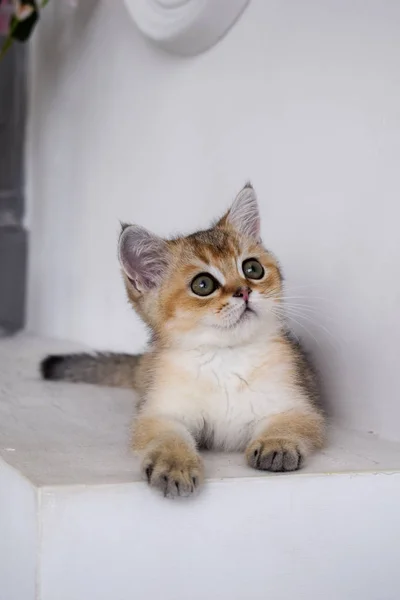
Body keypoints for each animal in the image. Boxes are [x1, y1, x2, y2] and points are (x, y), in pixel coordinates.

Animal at [42, 185, 324, 500]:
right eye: (203, 285)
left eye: (253, 269)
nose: (244, 291)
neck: (225, 358)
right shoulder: (160, 413)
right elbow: (168, 436)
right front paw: (175, 465)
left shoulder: (300, 405)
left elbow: (290, 422)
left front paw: (278, 444)